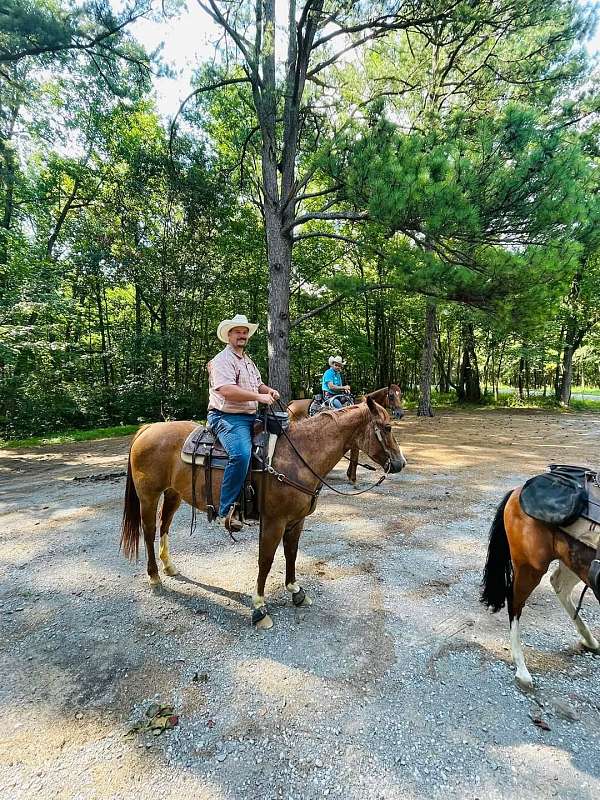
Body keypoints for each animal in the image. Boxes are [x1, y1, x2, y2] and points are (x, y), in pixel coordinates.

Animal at [119, 396, 406, 628]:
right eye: (387, 428)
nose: (400, 463)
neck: (299, 456)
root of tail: (148, 429)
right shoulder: (273, 522)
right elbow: (265, 560)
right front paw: (259, 607)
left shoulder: (296, 521)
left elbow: (291, 553)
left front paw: (295, 590)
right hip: (149, 496)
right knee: (149, 532)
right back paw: (155, 577)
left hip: (173, 493)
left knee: (165, 526)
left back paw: (169, 567)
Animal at [482, 484, 600, 692]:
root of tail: (517, 491)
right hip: (531, 568)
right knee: (515, 603)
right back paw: (522, 670)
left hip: (574, 563)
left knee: (559, 585)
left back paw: (591, 640)